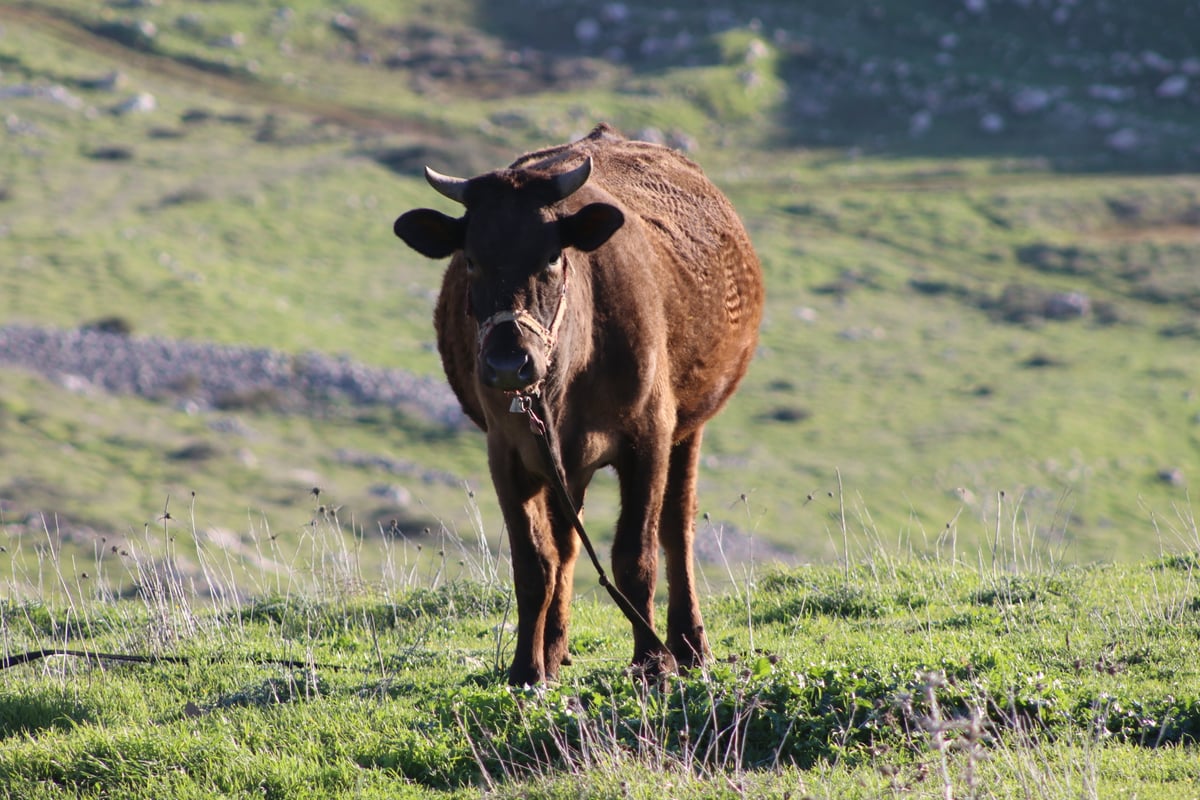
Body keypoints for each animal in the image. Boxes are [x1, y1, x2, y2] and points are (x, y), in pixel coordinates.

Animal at [396, 125, 768, 690]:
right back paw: (554, 650)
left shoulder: (648, 437)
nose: (509, 363)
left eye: (551, 257)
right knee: (568, 545)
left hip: (689, 426)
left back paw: (688, 643)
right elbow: (535, 564)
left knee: (676, 528)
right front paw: (526, 668)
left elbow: (635, 556)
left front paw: (651, 661)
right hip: (565, 463)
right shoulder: (507, 452)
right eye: (472, 260)